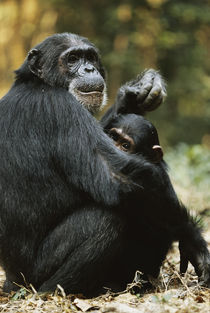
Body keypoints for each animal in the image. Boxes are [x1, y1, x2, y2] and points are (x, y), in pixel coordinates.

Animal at [0, 32, 209, 294]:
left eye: (90, 57)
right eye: (72, 58)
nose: (89, 68)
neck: (38, 84)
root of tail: (10, 283)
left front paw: (134, 93)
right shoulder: (61, 109)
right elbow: (119, 176)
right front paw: (194, 241)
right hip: (34, 275)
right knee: (105, 219)